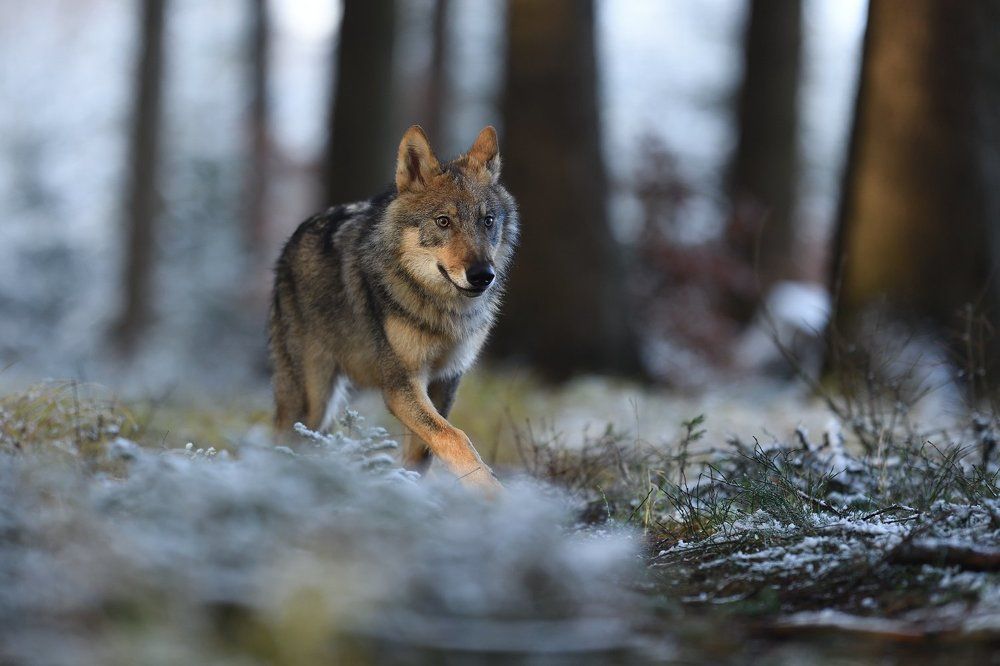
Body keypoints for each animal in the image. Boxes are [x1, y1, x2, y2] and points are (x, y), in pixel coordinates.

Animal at [269, 125, 518, 491]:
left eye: (486, 221)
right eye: (443, 221)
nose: (483, 275)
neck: (440, 311)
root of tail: (292, 239)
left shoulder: (446, 380)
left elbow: (426, 450)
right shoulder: (401, 385)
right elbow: (455, 436)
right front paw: (492, 491)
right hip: (311, 401)